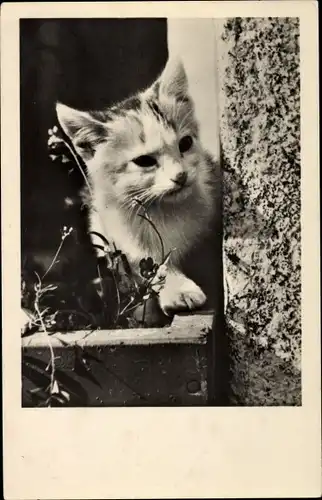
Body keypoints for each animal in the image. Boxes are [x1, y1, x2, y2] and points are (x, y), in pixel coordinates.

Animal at [56, 58, 220, 314]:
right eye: (144, 161)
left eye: (185, 143)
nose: (181, 175)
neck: (164, 210)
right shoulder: (113, 237)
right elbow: (148, 263)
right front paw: (178, 289)